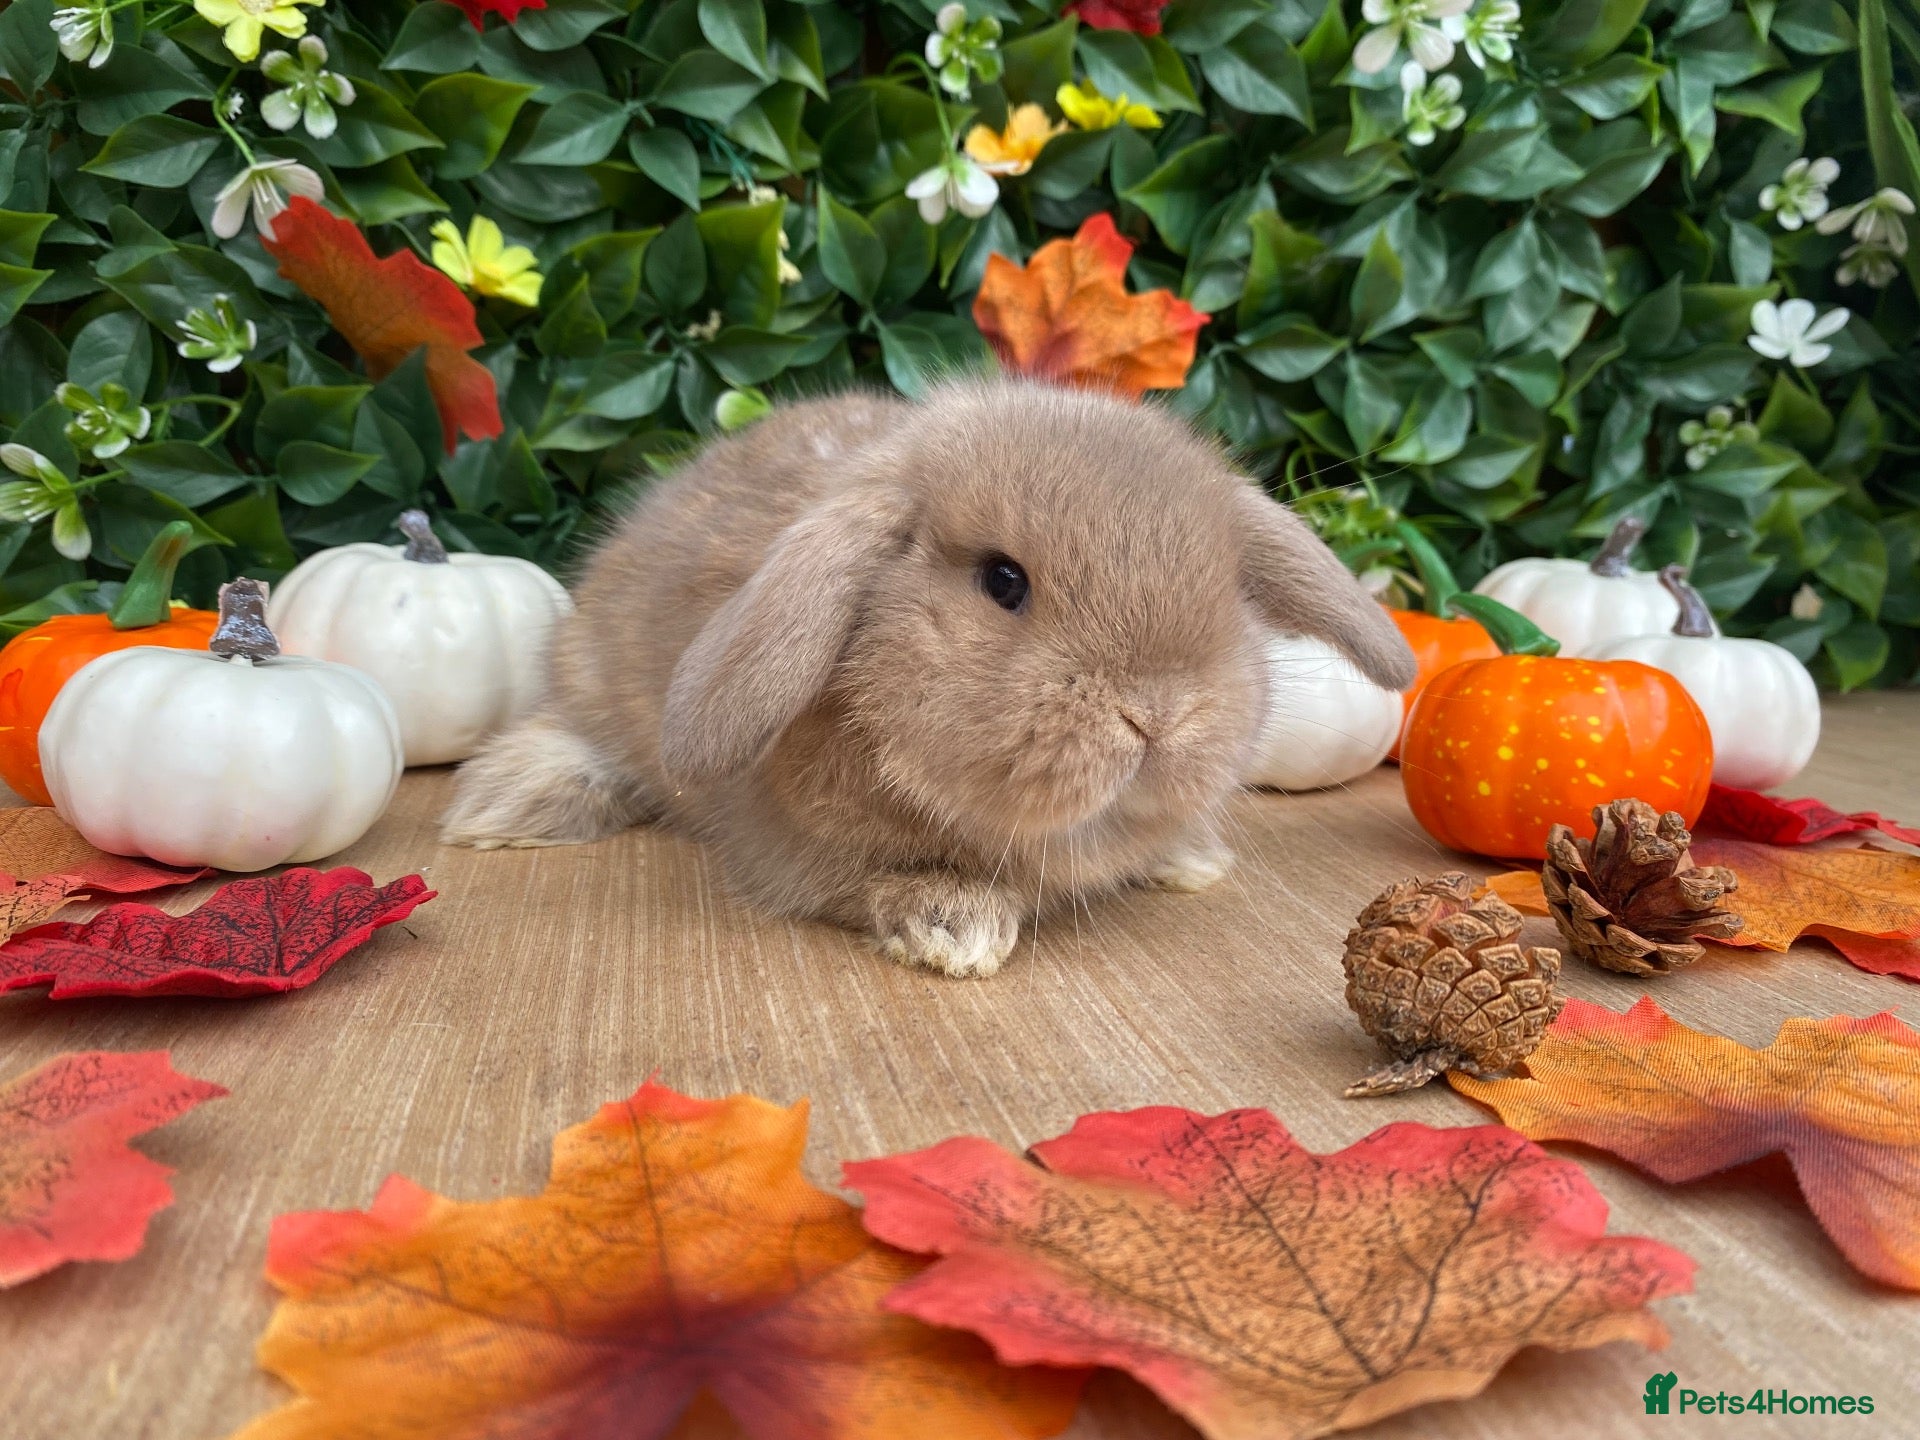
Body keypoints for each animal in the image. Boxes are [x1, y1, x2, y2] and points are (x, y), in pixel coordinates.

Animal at [442, 378, 1414, 977]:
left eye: (1225, 583)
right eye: (1002, 581)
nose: (1159, 712)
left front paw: (1190, 859)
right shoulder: (798, 848)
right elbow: (888, 878)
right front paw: (956, 927)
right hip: (591, 674)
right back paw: (499, 811)